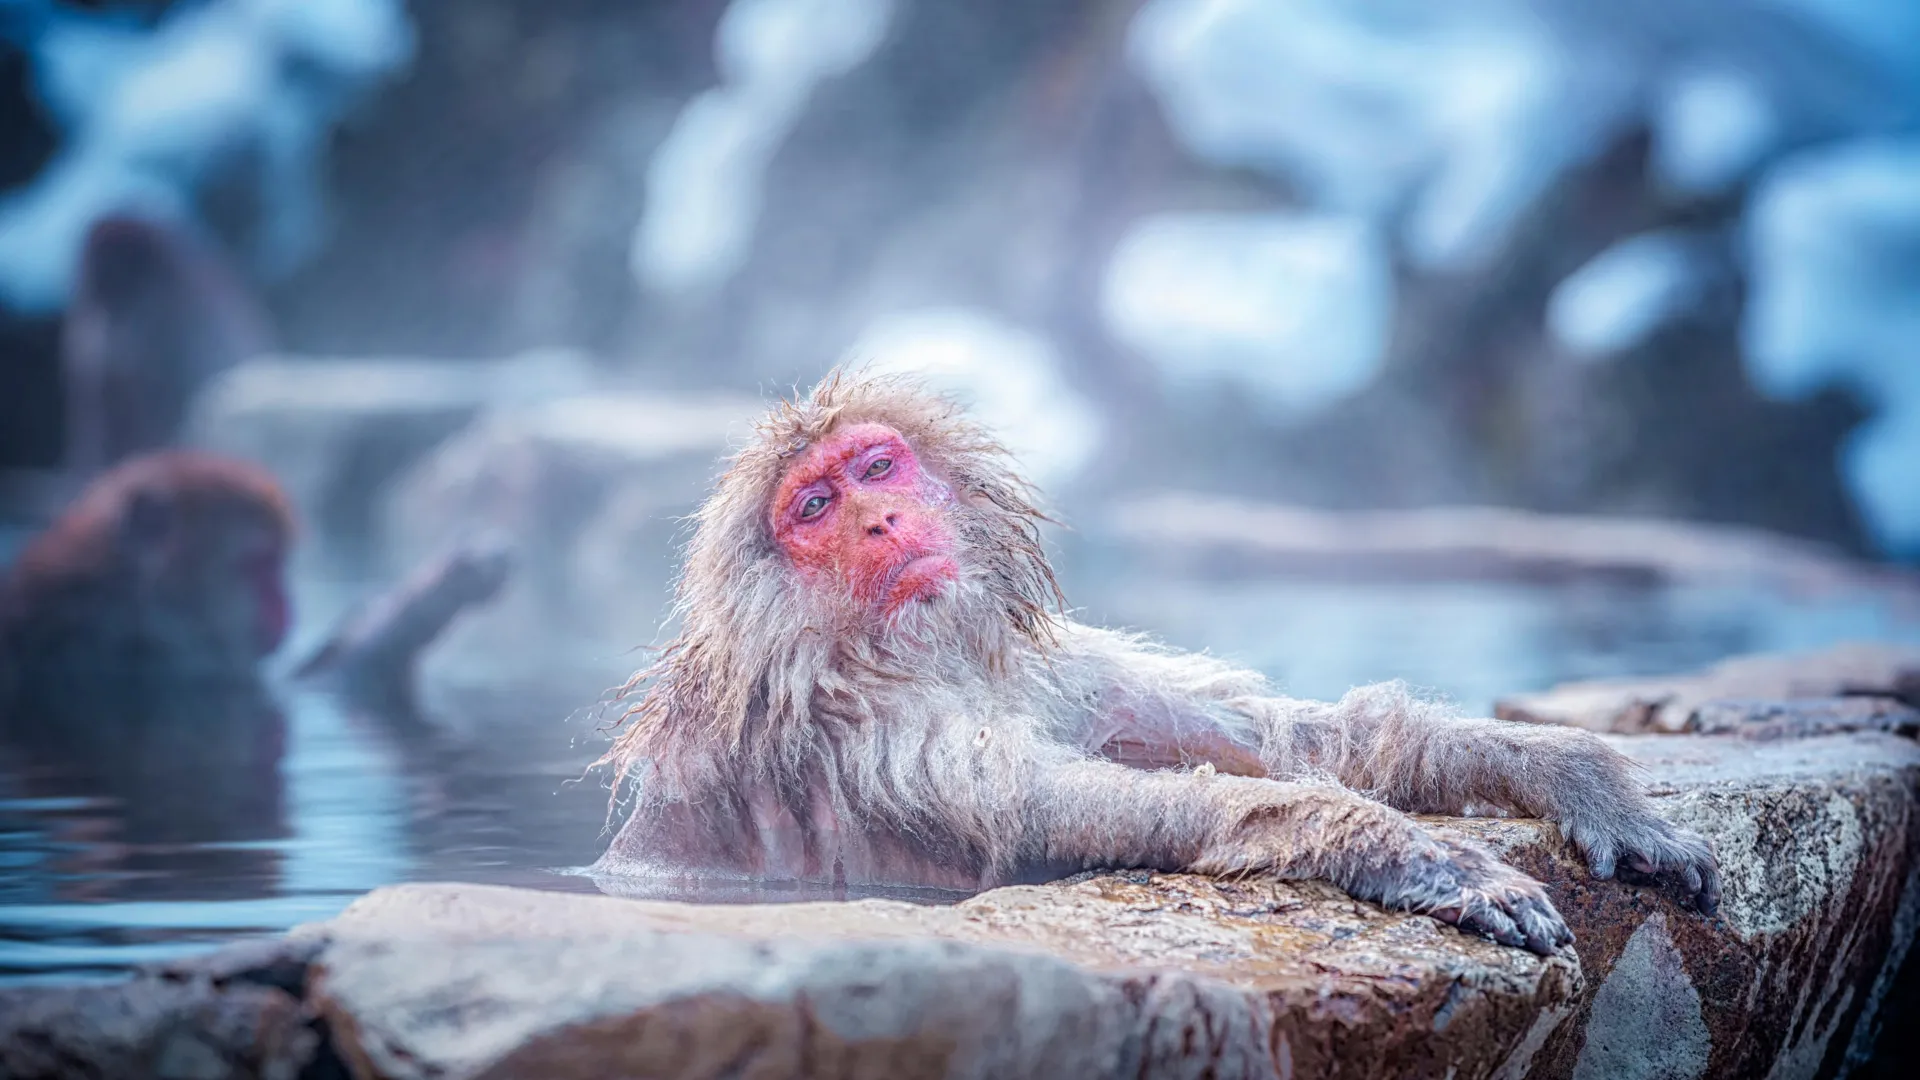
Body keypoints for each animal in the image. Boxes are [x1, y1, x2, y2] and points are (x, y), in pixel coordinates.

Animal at [592, 372, 1721, 955]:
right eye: (816, 506)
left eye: (877, 466)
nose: (880, 521)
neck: (917, 659)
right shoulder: (870, 739)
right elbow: (1056, 813)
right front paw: (1411, 852)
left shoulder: (1049, 669)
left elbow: (1289, 739)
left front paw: (1576, 774)